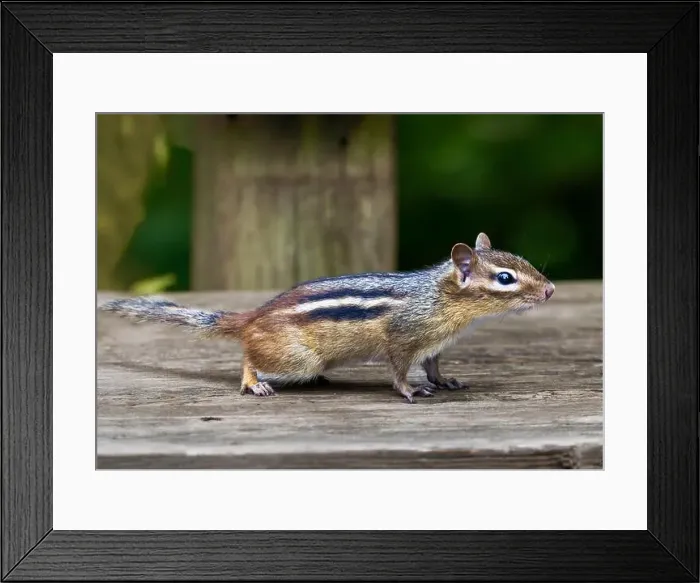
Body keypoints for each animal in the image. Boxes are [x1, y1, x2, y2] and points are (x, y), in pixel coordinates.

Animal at [99, 233, 555, 403]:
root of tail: (255, 316)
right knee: (248, 356)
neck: (438, 297)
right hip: (295, 358)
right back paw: (253, 382)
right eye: (505, 278)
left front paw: (445, 382)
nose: (550, 290)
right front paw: (409, 391)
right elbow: (400, 370)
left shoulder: (432, 345)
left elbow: (434, 366)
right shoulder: (402, 338)